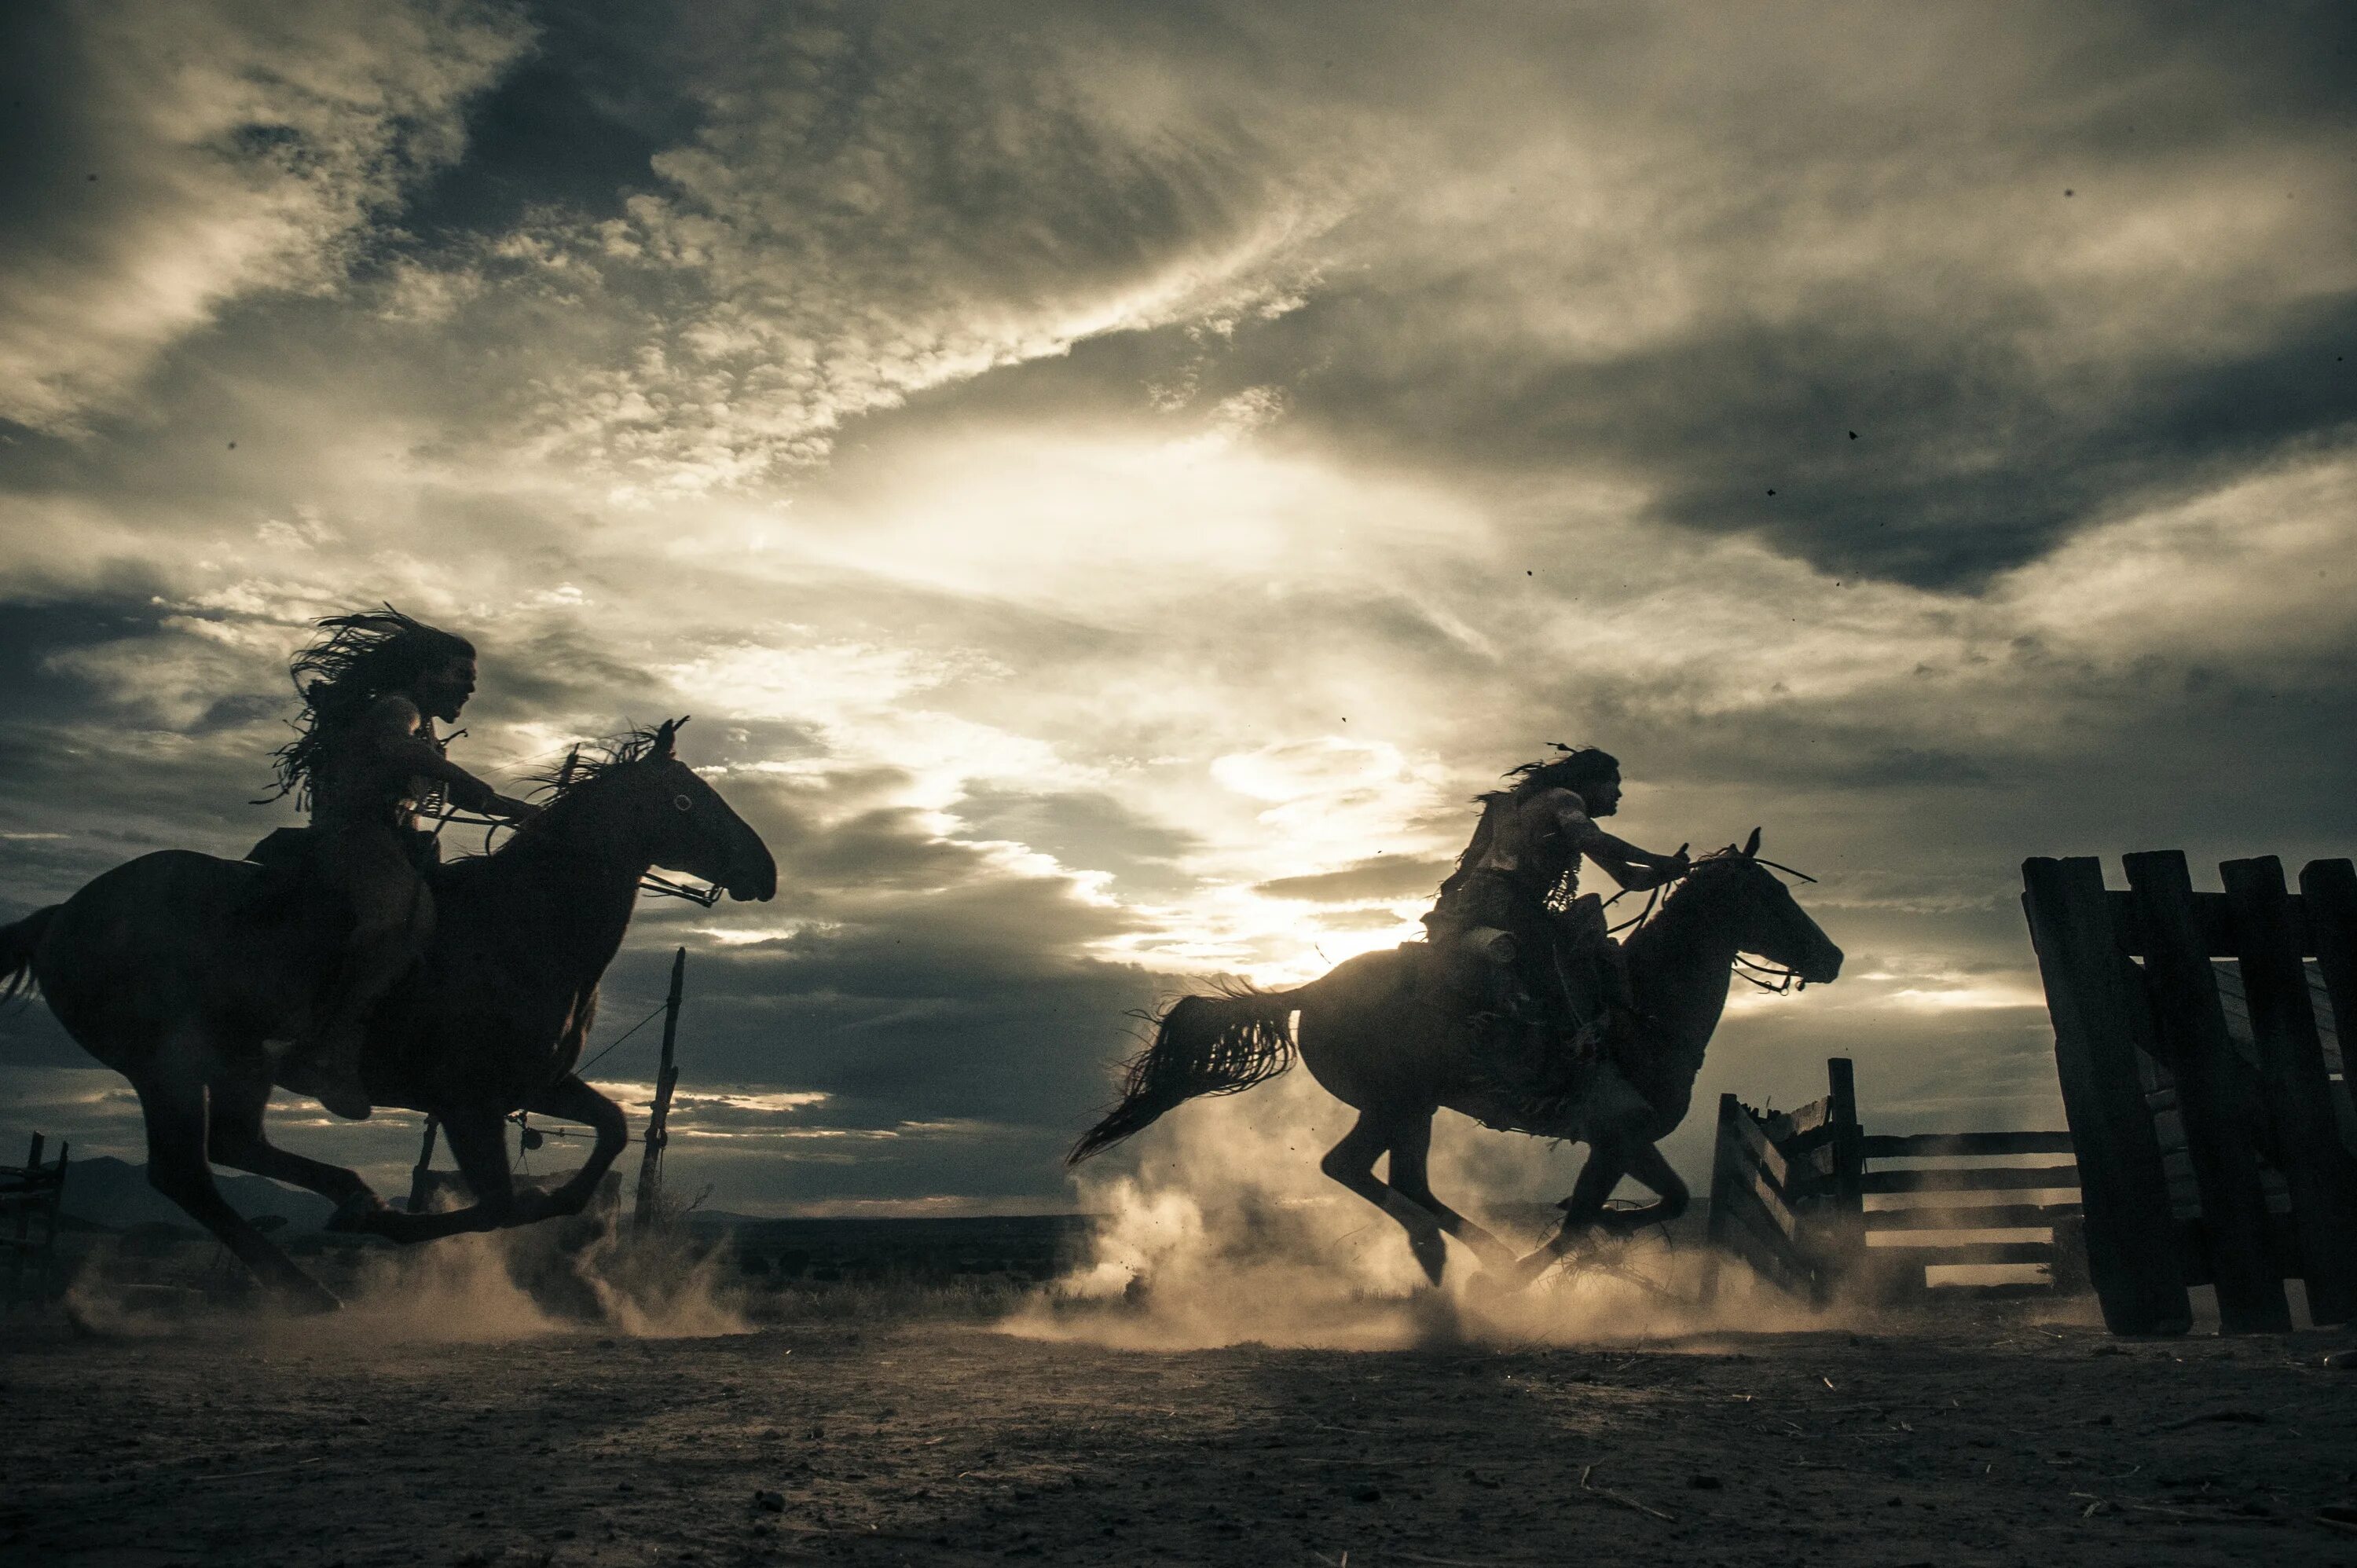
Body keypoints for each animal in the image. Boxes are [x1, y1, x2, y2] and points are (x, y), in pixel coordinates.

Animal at [0, 716, 778, 1310]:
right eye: (686, 800)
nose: (765, 870)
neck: (521, 923)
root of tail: (59, 917)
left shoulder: (538, 1085)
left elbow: (611, 1131)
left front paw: (577, 1228)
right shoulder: (467, 1103)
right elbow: (501, 1205)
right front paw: (404, 1229)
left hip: (233, 1065)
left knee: (227, 1150)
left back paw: (336, 1228)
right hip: (169, 1066)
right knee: (186, 1172)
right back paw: (322, 1264)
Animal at [1070, 825, 1838, 1291]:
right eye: (1772, 894)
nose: (1831, 957)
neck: (1641, 1008)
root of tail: (1314, 989)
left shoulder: (1623, 1139)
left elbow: (1663, 1200)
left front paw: (1589, 1240)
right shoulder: (1614, 1134)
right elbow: (1595, 1217)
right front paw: (1549, 1261)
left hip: (1415, 1109)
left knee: (1397, 1178)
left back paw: (1455, 1254)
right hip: (1398, 1101)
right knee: (1355, 1169)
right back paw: (1459, 1255)